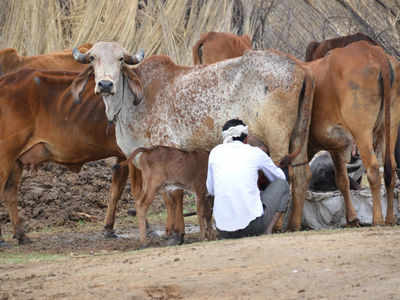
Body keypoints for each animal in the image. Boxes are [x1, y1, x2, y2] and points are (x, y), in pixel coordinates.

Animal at [71, 41, 316, 244]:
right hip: (298, 138)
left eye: (120, 59)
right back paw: (294, 225)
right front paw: (173, 232)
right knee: (301, 174)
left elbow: (172, 196)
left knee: (285, 174)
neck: (131, 104)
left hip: (277, 139)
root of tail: (300, 68)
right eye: (93, 58)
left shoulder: (165, 149)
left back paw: (277, 225)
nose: (105, 84)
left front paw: (175, 234)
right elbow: (173, 194)